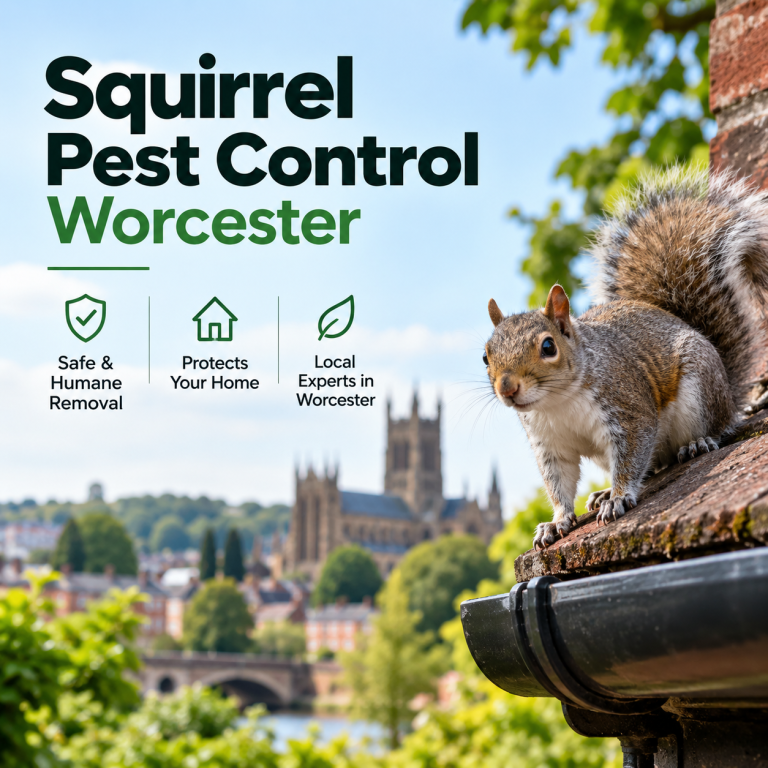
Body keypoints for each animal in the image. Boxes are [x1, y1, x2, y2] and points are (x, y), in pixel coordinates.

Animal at [484, 166, 768, 550]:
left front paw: (619, 497)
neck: (557, 402)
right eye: (485, 357)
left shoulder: (627, 409)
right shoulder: (549, 444)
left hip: (701, 390)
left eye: (548, 347)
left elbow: (632, 454)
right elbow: (559, 483)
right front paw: (556, 522)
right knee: (655, 465)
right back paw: (602, 492)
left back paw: (698, 442)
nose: (507, 389)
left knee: (711, 429)